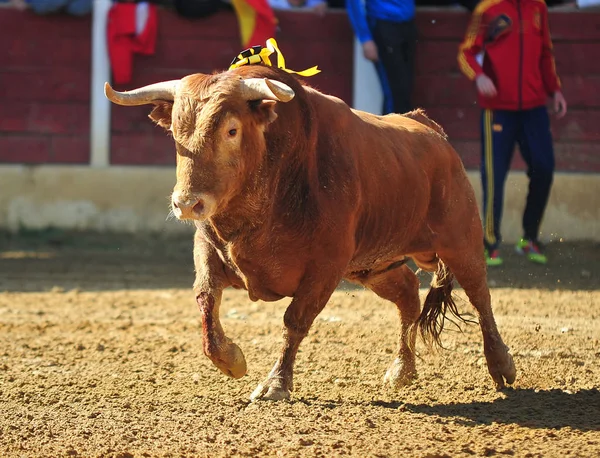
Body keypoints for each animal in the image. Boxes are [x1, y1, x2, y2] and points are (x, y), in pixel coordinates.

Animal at [104, 62, 516, 398]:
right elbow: (205, 298)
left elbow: (296, 319)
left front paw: (275, 384)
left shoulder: (326, 266)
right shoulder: (208, 245)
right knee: (407, 294)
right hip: (374, 265)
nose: (187, 203)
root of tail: (432, 131)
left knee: (480, 294)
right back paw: (402, 370)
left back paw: (501, 364)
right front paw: (232, 360)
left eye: (232, 130)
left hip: (460, 239)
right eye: (176, 131)